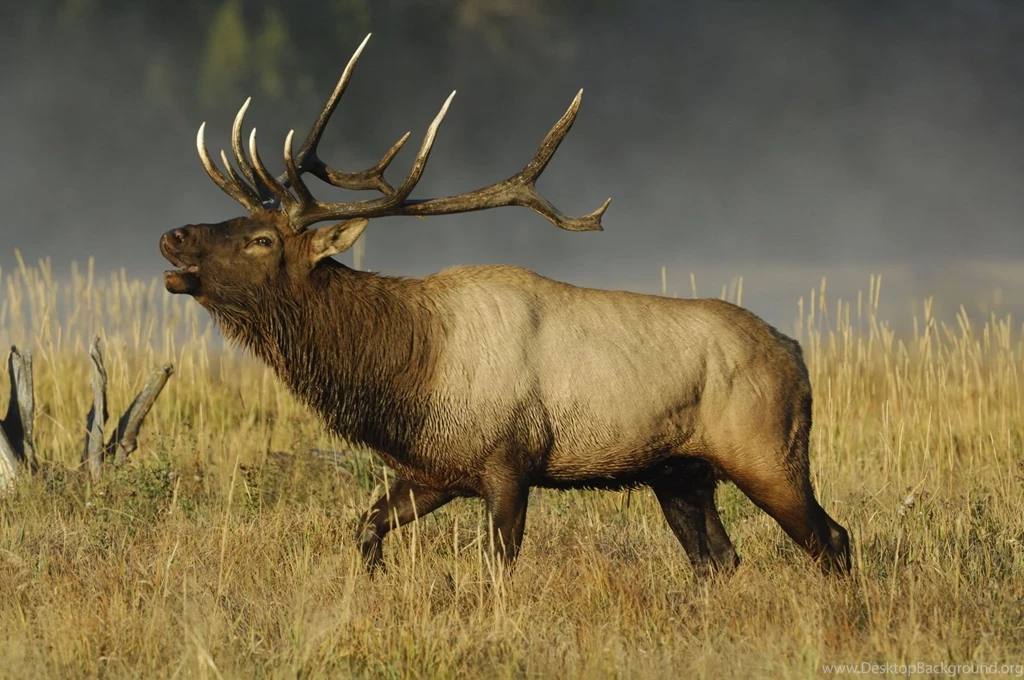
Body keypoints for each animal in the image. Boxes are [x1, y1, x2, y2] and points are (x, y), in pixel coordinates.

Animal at [160, 34, 850, 578]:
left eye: (262, 239)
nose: (173, 235)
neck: (407, 377)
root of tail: (796, 354)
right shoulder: (434, 470)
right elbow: (365, 530)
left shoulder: (507, 462)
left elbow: (496, 566)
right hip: (681, 472)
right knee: (720, 559)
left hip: (769, 450)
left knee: (832, 539)